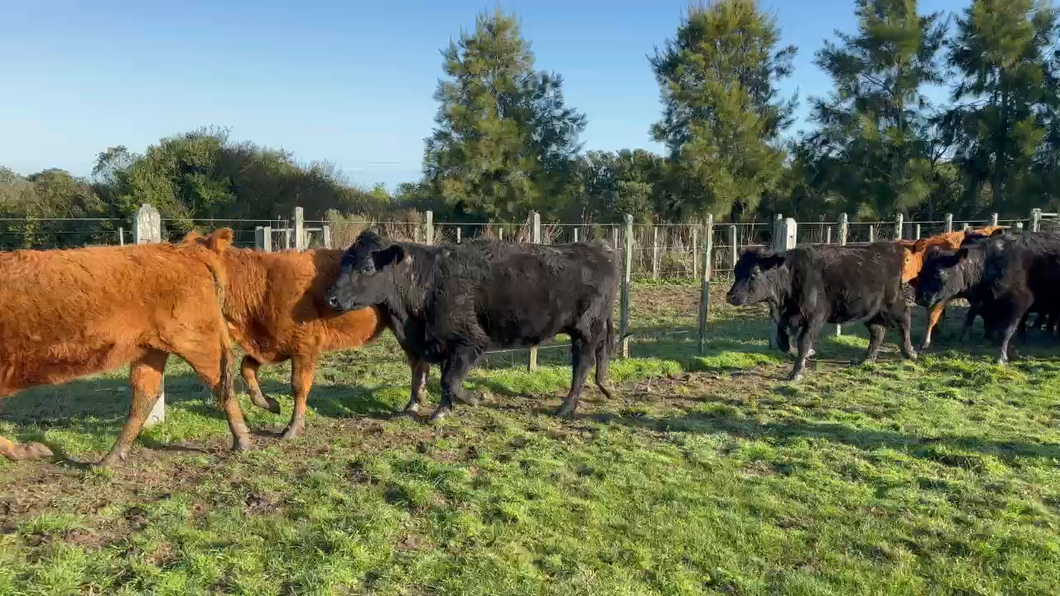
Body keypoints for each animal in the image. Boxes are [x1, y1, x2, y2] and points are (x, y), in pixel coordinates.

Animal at [0, 228, 252, 464]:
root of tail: (186, 250)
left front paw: (32, 450)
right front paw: (31, 450)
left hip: (195, 340)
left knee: (221, 383)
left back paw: (243, 443)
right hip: (151, 348)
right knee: (146, 393)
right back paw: (110, 459)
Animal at [182, 228, 426, 436]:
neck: (262, 285)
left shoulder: (304, 347)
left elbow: (299, 385)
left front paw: (293, 428)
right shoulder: (272, 344)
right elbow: (247, 368)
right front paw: (269, 404)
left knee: (418, 360)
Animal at [324, 230, 619, 419]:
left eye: (367, 267)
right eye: (343, 262)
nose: (331, 297)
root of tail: (597, 248)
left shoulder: (470, 340)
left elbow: (449, 380)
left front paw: (477, 398)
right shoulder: (435, 343)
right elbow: (434, 377)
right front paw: (439, 410)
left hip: (586, 329)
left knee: (582, 364)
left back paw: (566, 407)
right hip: (595, 326)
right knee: (602, 350)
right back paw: (605, 387)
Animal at [725, 242, 915, 377]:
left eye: (755, 273)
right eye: (736, 271)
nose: (731, 296)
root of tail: (889, 247)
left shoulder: (815, 317)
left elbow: (803, 341)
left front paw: (796, 372)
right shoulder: (783, 317)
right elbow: (782, 342)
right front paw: (806, 354)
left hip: (893, 302)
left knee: (905, 319)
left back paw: (910, 352)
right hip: (869, 310)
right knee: (878, 331)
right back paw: (866, 360)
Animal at [915, 231, 1060, 362]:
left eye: (938, 272)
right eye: (921, 272)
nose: (919, 298)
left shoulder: (1020, 303)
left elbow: (1006, 331)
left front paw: (1002, 356)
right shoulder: (984, 306)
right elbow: (987, 329)